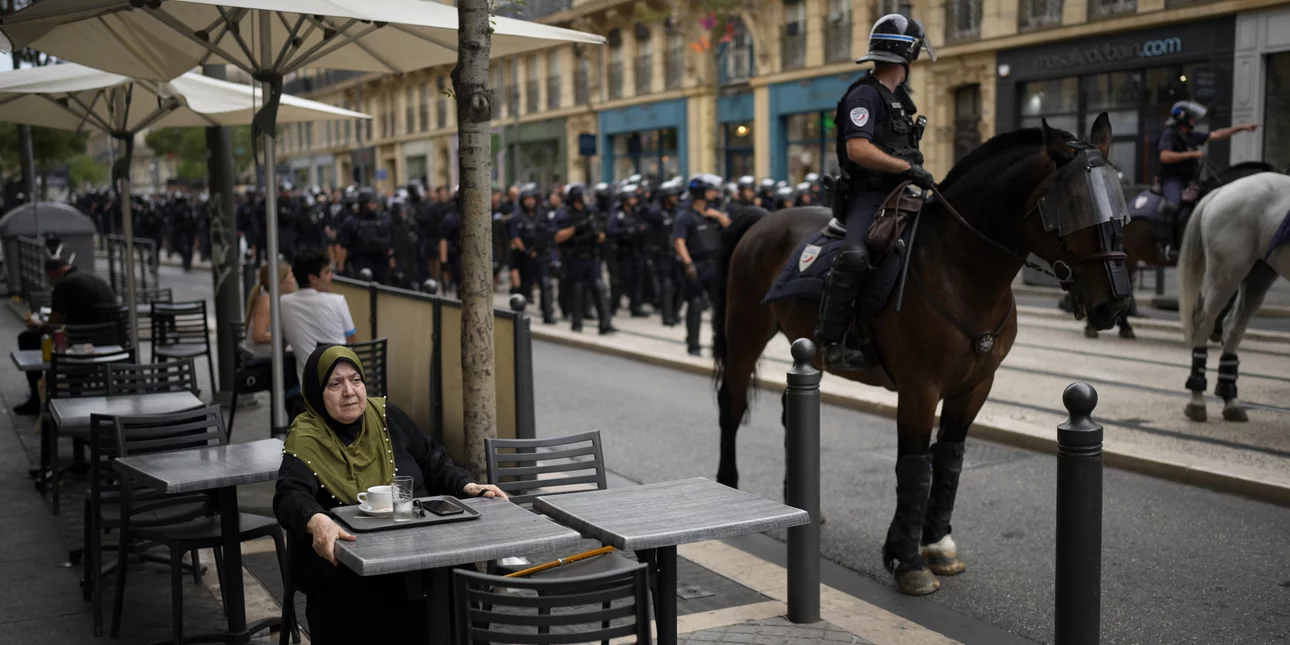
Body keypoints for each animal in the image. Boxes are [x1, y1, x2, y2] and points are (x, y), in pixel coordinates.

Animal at [717, 116, 1130, 593]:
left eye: (1118, 200)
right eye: (1072, 204)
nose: (1113, 304)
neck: (962, 269)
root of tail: (764, 219)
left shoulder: (975, 386)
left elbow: (949, 459)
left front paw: (937, 543)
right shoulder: (919, 388)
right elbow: (913, 465)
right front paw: (908, 559)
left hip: (806, 348)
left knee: (790, 409)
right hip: (744, 334)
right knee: (731, 406)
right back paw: (727, 488)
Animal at [1181, 171, 1290, 423]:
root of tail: (1223, 190)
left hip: (1258, 276)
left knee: (1233, 328)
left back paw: (1230, 399)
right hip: (1226, 274)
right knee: (1204, 322)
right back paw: (1197, 399)